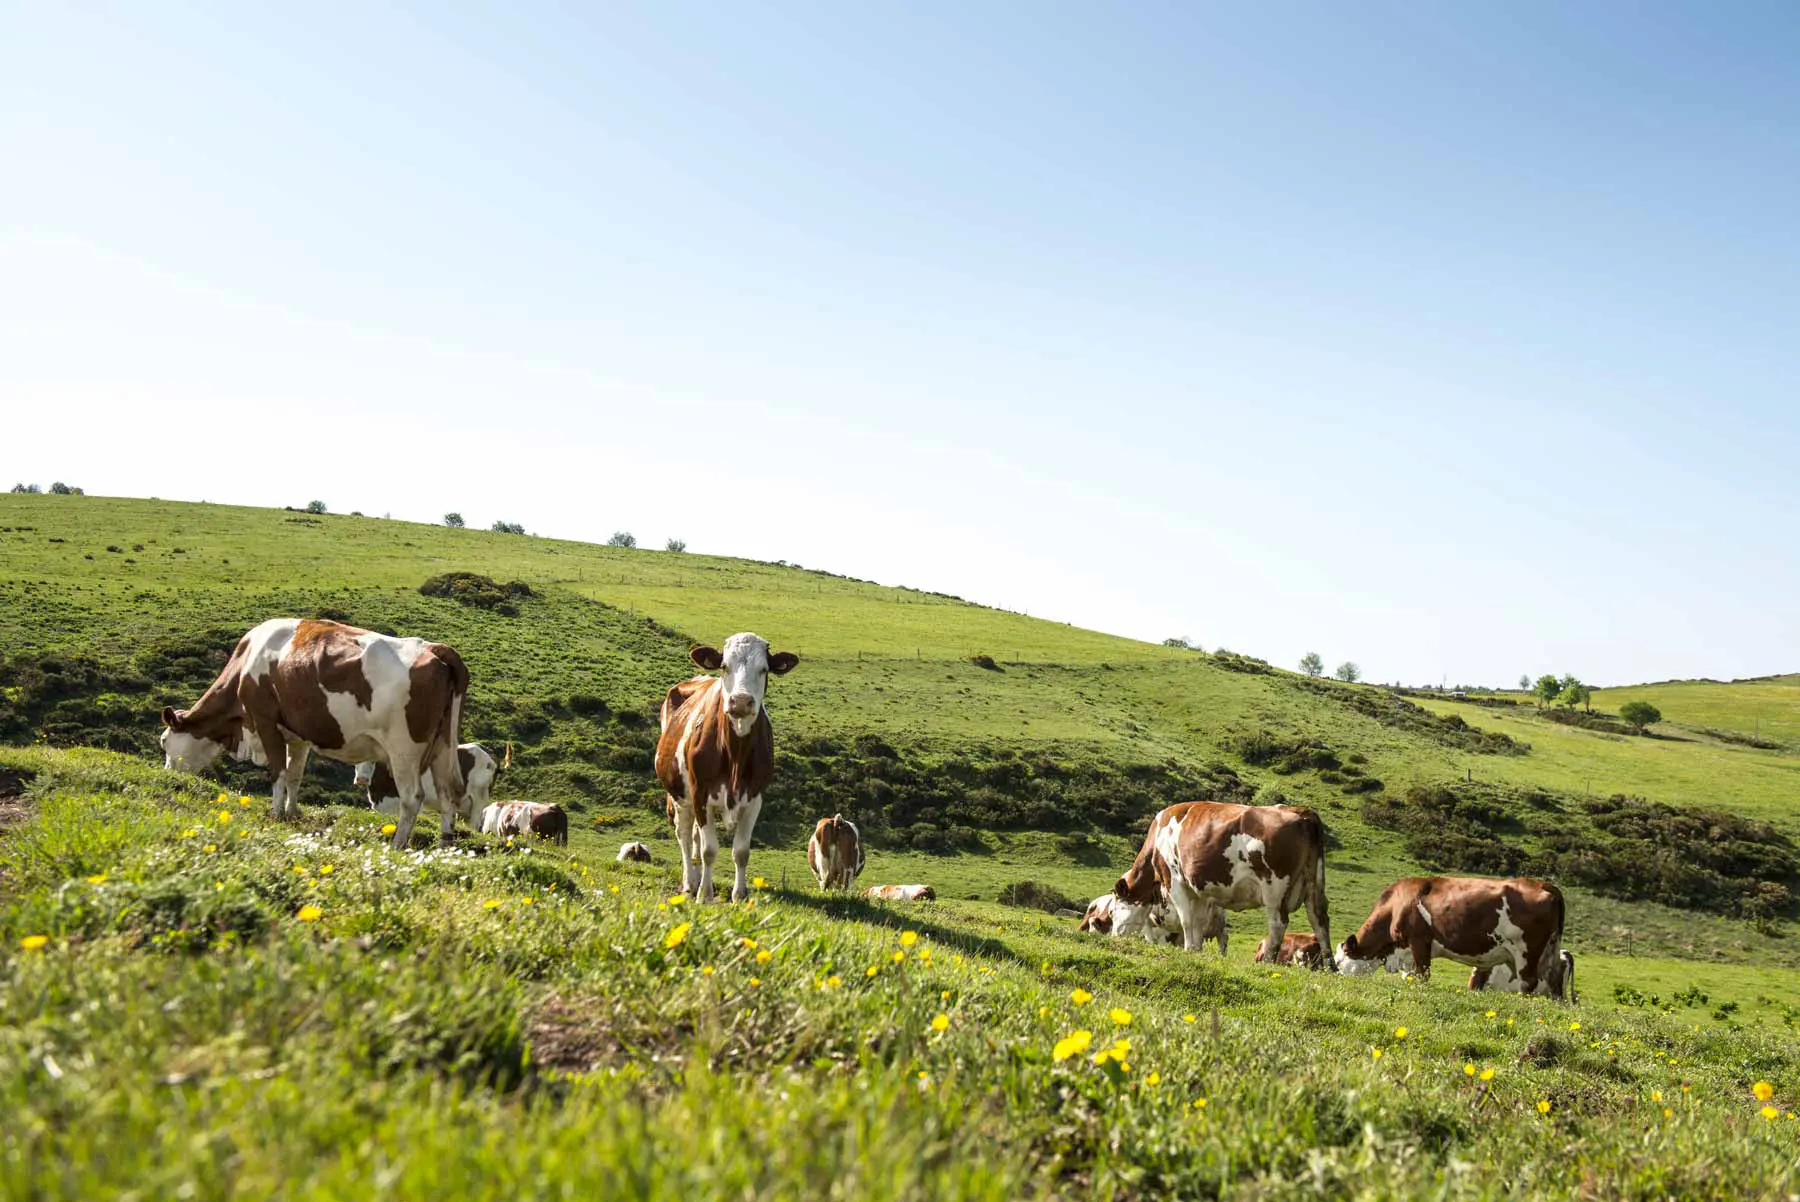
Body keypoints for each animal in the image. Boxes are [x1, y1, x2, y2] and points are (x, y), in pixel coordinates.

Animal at [161, 615, 468, 849]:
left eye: (164, 742)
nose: (167, 775)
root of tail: (433, 648)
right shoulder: (298, 735)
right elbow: (294, 775)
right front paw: (291, 813)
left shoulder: (265, 721)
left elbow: (278, 773)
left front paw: (275, 813)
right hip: (442, 747)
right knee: (448, 793)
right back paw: (445, 844)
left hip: (404, 749)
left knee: (412, 797)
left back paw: (398, 844)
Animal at [658, 633, 799, 896]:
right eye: (724, 666)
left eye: (764, 669)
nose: (741, 701)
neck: (735, 754)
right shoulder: (701, 794)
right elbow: (709, 851)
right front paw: (704, 895)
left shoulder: (755, 798)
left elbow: (741, 852)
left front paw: (739, 895)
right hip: (680, 794)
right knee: (685, 836)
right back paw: (690, 883)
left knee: (694, 836)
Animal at [1108, 802, 1339, 964]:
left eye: (1116, 907)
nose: (1114, 935)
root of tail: (1301, 812)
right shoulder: (1199, 891)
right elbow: (1198, 923)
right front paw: (1196, 950)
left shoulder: (1175, 880)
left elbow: (1186, 921)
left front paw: (1188, 949)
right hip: (1314, 882)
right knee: (1319, 920)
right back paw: (1330, 967)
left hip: (1274, 888)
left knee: (1278, 924)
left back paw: (1268, 961)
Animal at [1339, 878, 1576, 1000]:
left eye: (1340, 961)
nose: (1335, 976)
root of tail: (1542, 884)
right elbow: (1410, 976)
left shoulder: (1419, 941)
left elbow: (1422, 975)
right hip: (1549, 951)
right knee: (1553, 983)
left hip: (1526, 951)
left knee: (1528, 983)